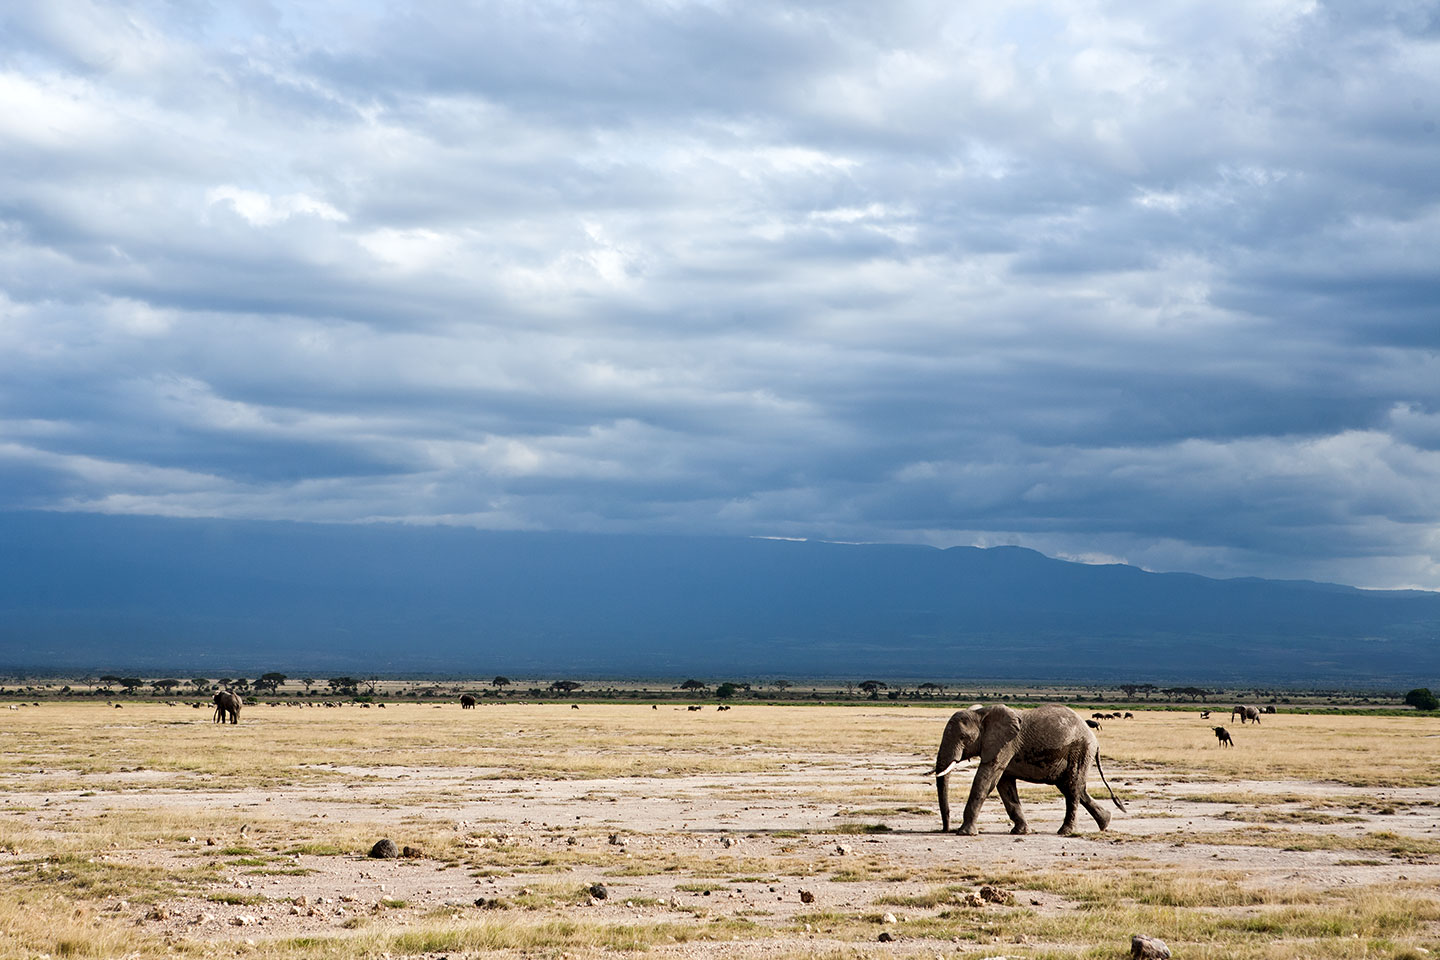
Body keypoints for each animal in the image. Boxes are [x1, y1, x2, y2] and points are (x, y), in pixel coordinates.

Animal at [931, 703, 1125, 836]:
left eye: (962, 738)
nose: (946, 829)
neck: (981, 714)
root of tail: (1095, 741)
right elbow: (1004, 785)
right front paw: (1021, 831)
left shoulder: (1005, 744)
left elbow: (986, 779)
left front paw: (965, 833)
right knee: (1074, 788)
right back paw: (1105, 822)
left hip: (1080, 750)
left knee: (1072, 787)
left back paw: (1065, 832)